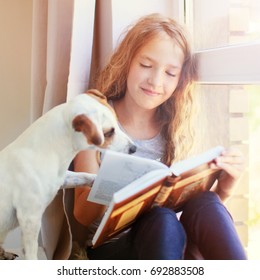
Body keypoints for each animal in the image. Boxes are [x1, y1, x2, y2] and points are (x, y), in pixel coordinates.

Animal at [0, 89, 135, 260]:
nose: (134, 148)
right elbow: (31, 254)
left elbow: (84, 176)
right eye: (108, 132)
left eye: (117, 122)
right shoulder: (29, 217)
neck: (48, 150)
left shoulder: (62, 179)